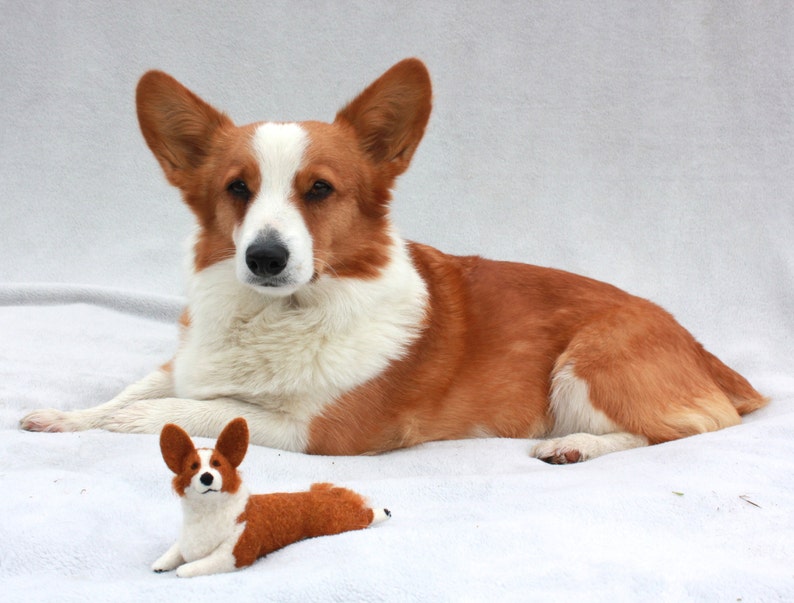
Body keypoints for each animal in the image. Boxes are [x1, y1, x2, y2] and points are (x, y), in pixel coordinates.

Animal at [18, 57, 764, 462]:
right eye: (237, 188)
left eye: (319, 189)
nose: (265, 257)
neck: (274, 315)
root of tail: (700, 349)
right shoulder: (186, 363)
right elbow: (142, 388)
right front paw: (69, 417)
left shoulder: (320, 429)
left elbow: (200, 412)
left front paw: (127, 423)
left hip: (588, 363)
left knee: (690, 429)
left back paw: (574, 445)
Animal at [152, 418, 390, 580]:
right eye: (193, 466)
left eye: (217, 464)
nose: (207, 477)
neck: (208, 512)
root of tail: (326, 493)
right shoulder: (185, 540)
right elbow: (175, 550)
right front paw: (160, 563)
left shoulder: (236, 553)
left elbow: (196, 566)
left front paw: (183, 569)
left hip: (337, 522)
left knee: (364, 516)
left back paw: (383, 512)